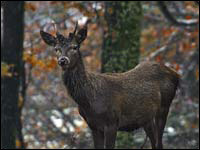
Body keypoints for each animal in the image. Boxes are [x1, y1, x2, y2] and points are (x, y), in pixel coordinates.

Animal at [39, 21, 180, 149]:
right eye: (56, 49)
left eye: (75, 47)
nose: (62, 60)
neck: (89, 100)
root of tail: (176, 74)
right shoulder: (93, 126)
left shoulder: (112, 121)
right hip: (147, 118)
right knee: (154, 142)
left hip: (164, 107)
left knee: (159, 142)